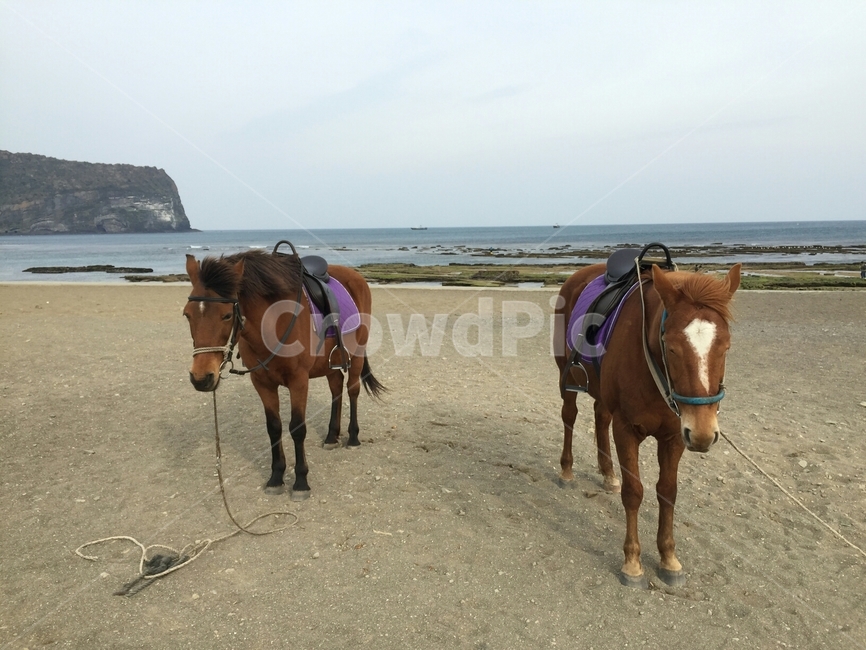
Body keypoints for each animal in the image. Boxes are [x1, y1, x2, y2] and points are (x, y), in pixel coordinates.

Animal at [183, 246, 385, 501]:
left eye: (227, 315)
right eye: (187, 315)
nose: (202, 377)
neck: (273, 323)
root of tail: (355, 276)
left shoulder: (298, 381)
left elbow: (297, 428)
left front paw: (300, 481)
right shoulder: (262, 382)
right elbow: (274, 427)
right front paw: (277, 477)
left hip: (356, 355)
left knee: (352, 390)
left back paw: (353, 436)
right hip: (330, 362)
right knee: (336, 388)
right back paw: (331, 436)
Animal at [554, 255, 741, 587]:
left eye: (726, 346)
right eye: (671, 346)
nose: (704, 434)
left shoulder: (675, 436)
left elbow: (668, 492)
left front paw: (668, 558)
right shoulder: (626, 429)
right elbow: (634, 492)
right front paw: (632, 561)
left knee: (600, 417)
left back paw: (608, 474)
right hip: (567, 377)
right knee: (570, 417)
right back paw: (567, 470)